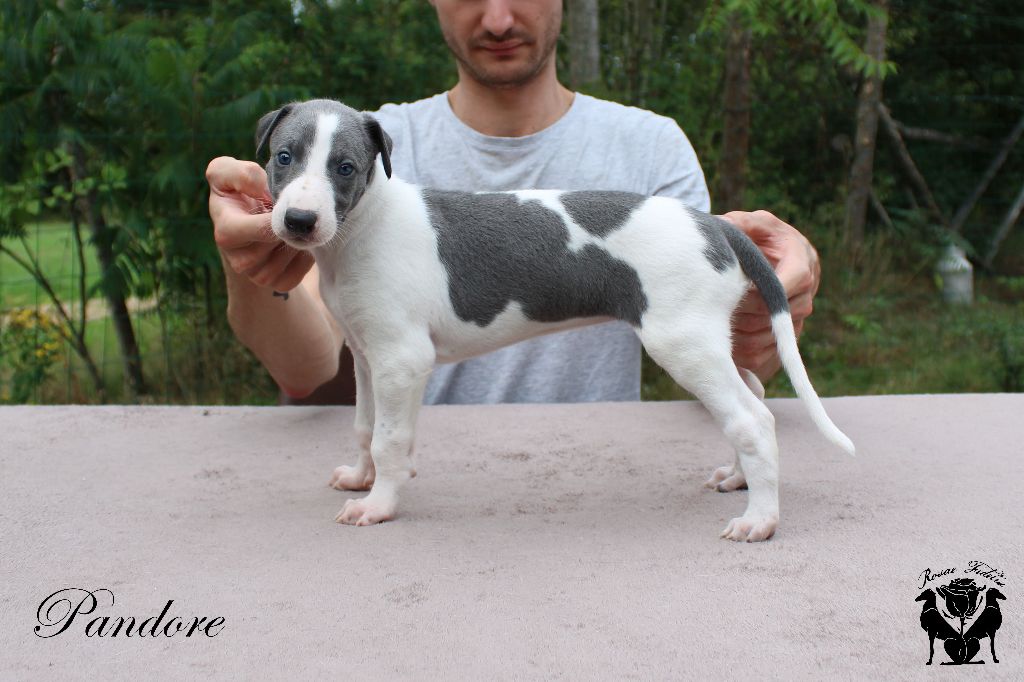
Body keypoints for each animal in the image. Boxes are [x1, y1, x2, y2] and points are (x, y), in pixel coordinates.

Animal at [254, 99, 855, 542]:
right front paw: (362, 480)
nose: (300, 220)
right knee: (754, 397)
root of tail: (716, 225)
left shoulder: (402, 361)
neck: (364, 227)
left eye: (345, 168)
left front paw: (378, 504)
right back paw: (737, 479)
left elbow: (389, 438)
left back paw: (761, 520)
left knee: (753, 420)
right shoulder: (366, 355)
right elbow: (365, 428)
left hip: (683, 345)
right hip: (711, 340)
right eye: (284, 157)